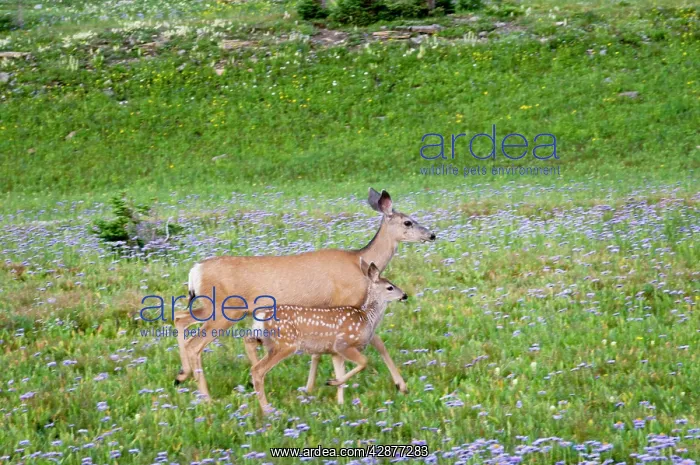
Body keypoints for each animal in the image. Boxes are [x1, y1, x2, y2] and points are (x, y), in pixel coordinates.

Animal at [244, 259, 407, 412]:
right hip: (285, 343)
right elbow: (364, 361)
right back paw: (267, 410)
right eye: (390, 287)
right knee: (258, 370)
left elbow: (341, 373)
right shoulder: (343, 344)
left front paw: (339, 402)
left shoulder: (335, 353)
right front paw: (332, 383)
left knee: (248, 342)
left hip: (264, 338)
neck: (367, 318)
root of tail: (261, 315)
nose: (405, 295)